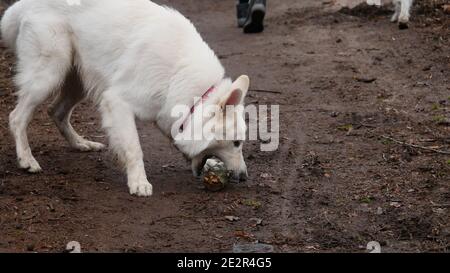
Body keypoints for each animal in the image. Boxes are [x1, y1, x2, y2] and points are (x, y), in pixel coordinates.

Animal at [0, 0, 250, 196]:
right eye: (236, 143)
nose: (244, 177)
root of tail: (24, 4)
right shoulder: (117, 101)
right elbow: (134, 147)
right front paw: (139, 182)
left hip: (78, 80)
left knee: (56, 112)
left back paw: (81, 143)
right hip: (49, 74)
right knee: (16, 117)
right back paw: (27, 160)